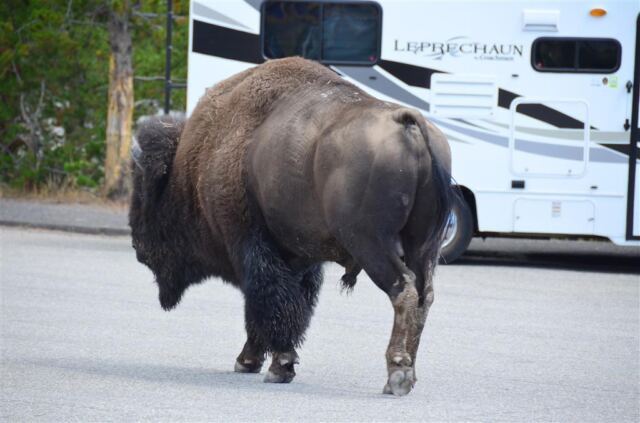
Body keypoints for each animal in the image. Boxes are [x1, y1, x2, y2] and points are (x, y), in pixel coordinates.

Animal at [130, 57, 454, 396]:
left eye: (144, 194)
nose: (138, 247)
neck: (193, 164)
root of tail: (407, 122)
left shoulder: (250, 246)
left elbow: (267, 304)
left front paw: (271, 366)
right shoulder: (298, 258)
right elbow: (290, 307)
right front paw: (260, 362)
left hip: (371, 243)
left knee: (403, 290)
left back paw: (397, 375)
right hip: (423, 247)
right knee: (424, 295)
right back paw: (410, 374)